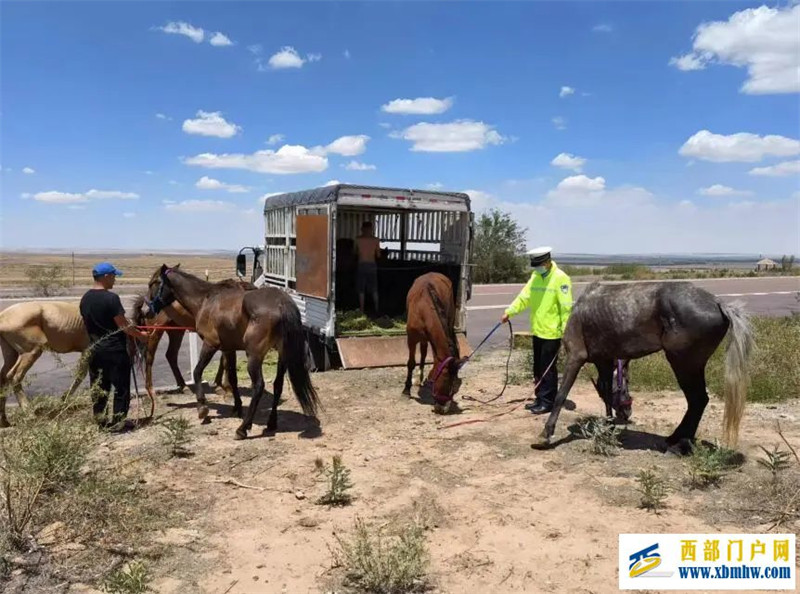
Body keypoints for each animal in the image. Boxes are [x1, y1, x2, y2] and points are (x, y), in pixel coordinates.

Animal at [146, 264, 320, 439]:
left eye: (153, 283)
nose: (148, 312)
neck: (205, 300)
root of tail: (282, 304)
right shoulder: (229, 349)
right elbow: (232, 378)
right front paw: (237, 407)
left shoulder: (210, 344)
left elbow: (197, 372)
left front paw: (202, 408)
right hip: (282, 355)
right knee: (278, 385)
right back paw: (271, 423)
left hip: (254, 357)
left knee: (258, 386)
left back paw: (243, 428)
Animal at [403, 272, 465, 414]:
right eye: (446, 382)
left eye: (454, 388)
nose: (443, 409)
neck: (423, 307)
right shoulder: (411, 339)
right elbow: (411, 363)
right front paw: (406, 390)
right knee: (423, 352)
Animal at [539, 281, 753, 454]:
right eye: (627, 381)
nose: (627, 413)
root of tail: (718, 303)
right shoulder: (604, 362)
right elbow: (607, 395)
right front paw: (608, 428)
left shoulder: (575, 357)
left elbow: (561, 394)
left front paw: (546, 433)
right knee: (698, 401)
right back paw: (676, 439)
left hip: (684, 364)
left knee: (698, 400)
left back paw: (681, 444)